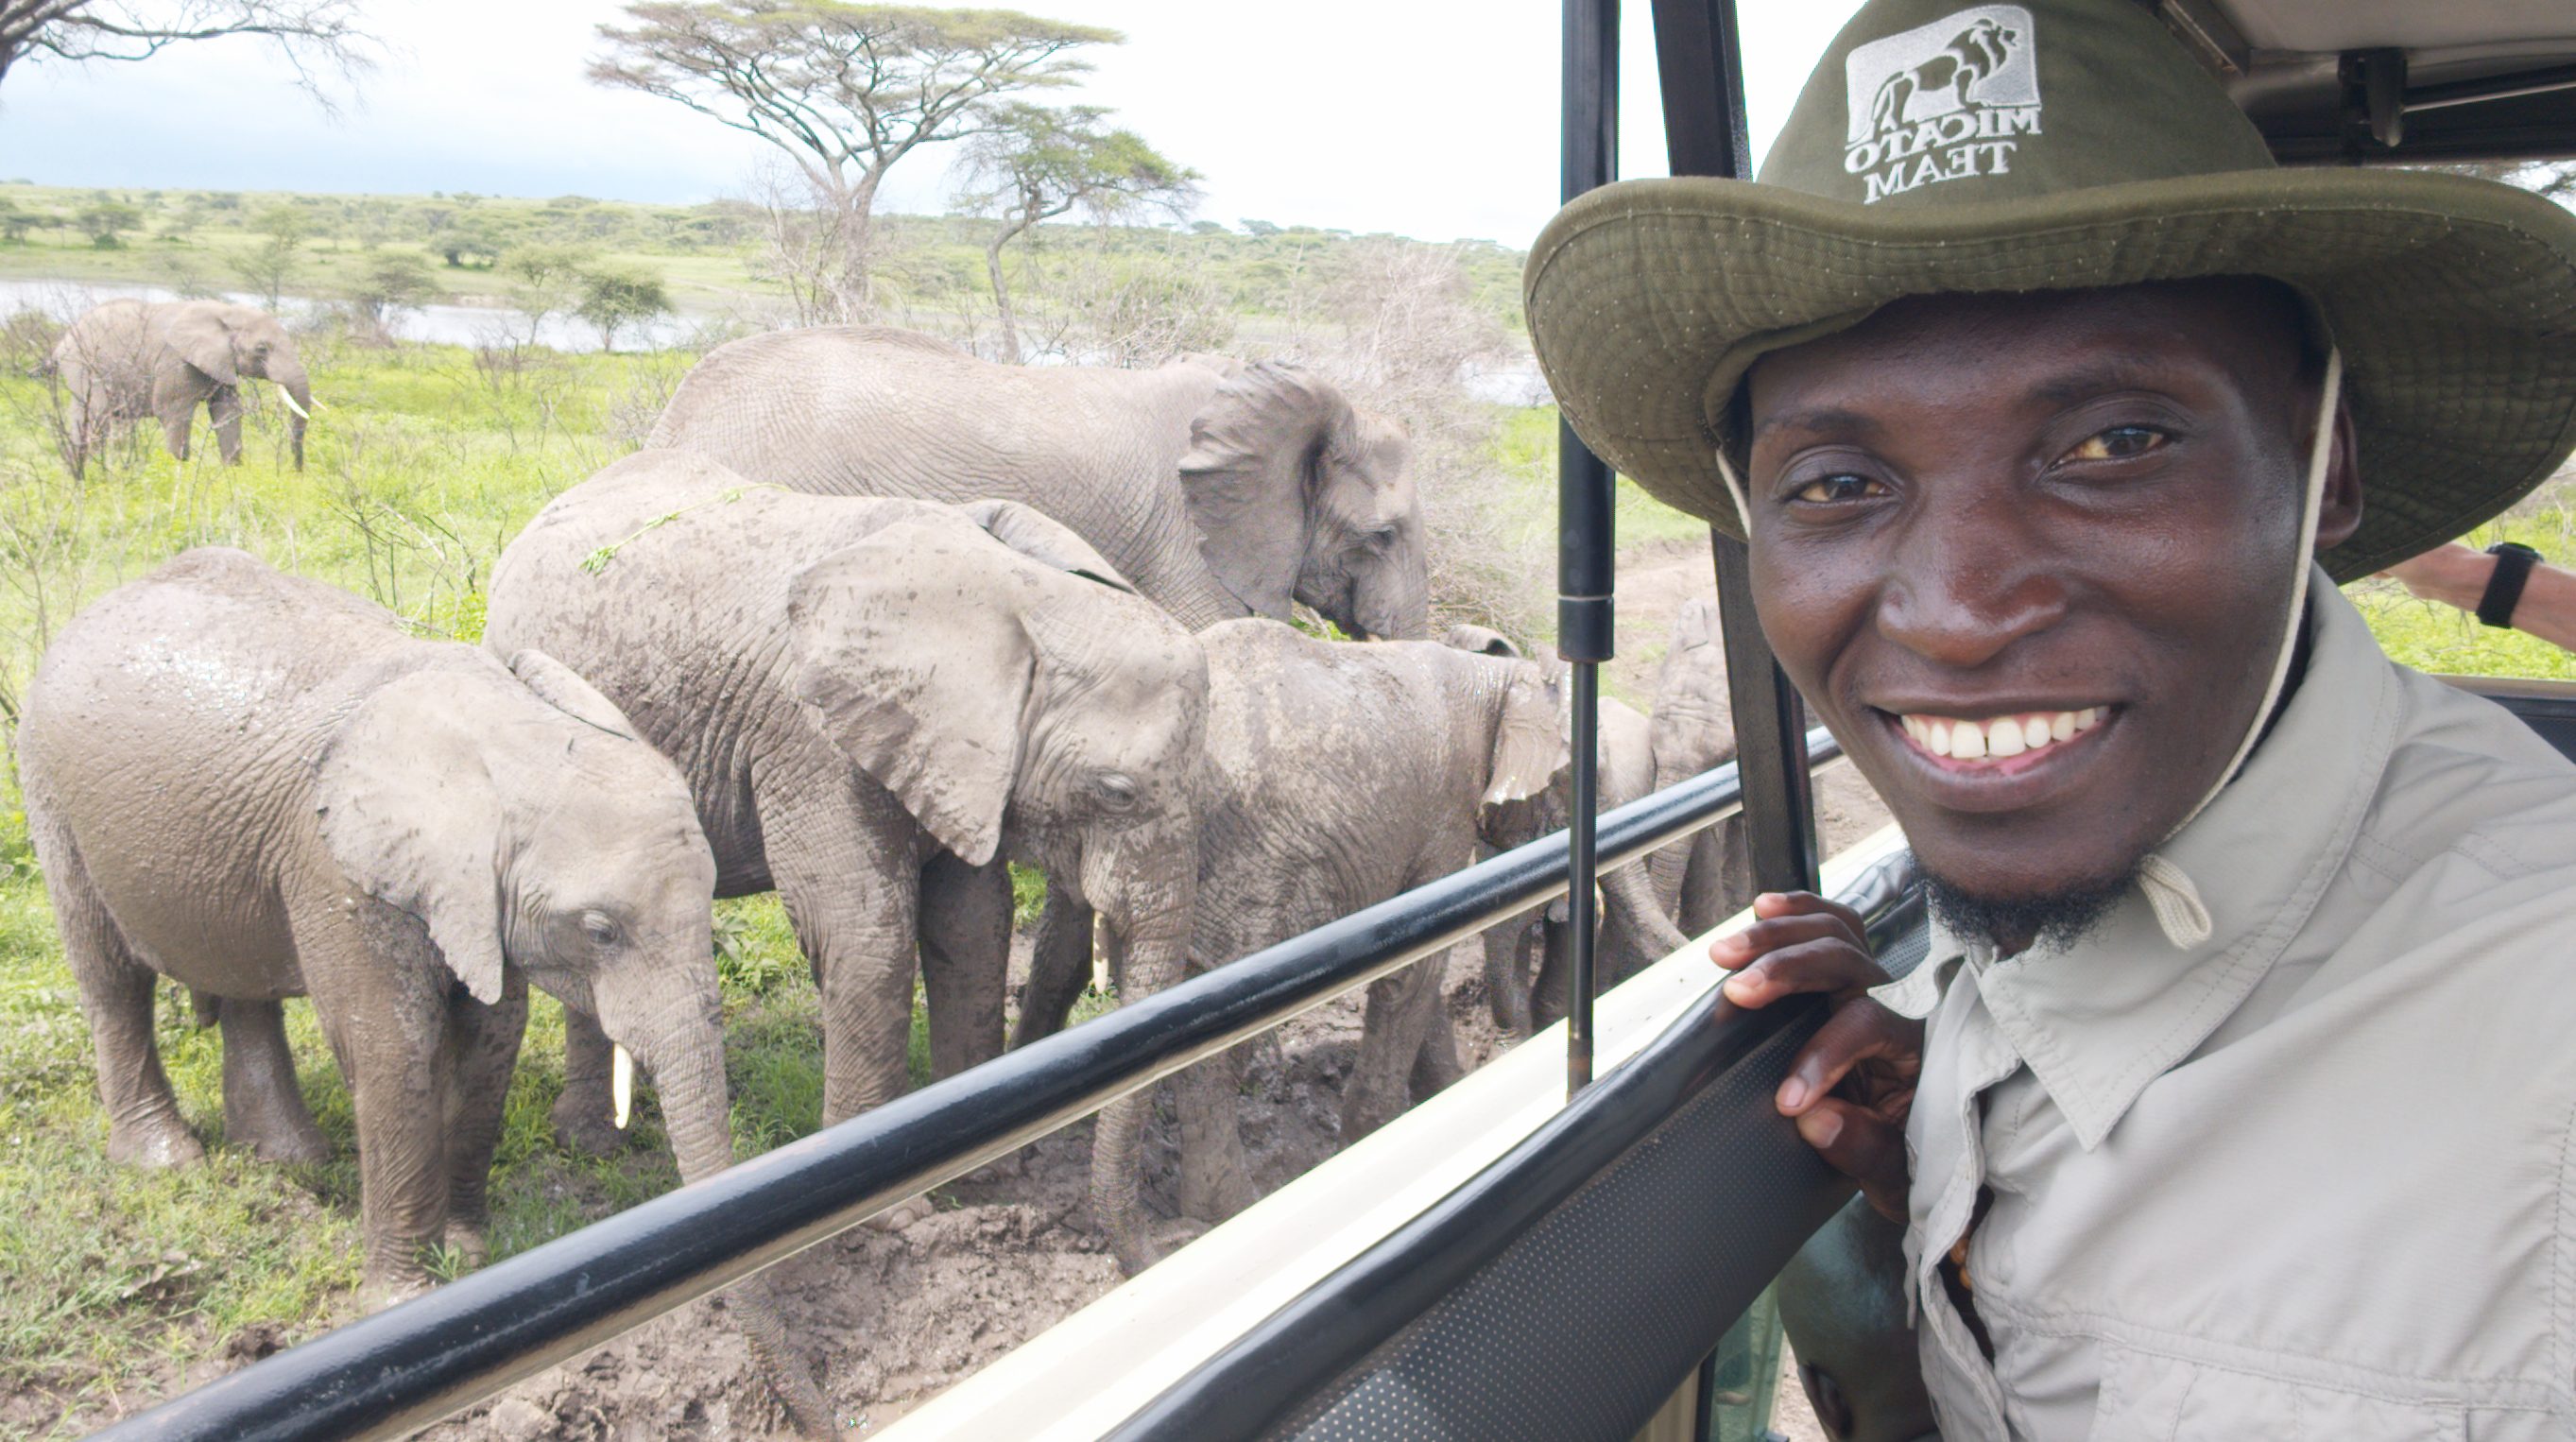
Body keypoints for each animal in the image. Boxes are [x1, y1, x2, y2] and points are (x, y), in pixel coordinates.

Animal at [14, 548, 829, 1434]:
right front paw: (402, 1303)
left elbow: (492, 1039)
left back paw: (288, 1157)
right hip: (48, 788)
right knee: (111, 978)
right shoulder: (337, 864)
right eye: (602, 931)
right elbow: (391, 1044)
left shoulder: (470, 895)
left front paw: (469, 1258)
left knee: (241, 979)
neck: (507, 744)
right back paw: (168, 1164)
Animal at [44, 299, 312, 475]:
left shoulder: (221, 363)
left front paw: (233, 474)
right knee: (95, 414)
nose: (297, 472)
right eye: (262, 349)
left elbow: (228, 413)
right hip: (83, 365)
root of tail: (62, 342)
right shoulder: (174, 362)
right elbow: (173, 413)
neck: (226, 312)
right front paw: (179, 473)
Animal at [481, 452, 1209, 1251]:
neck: (1015, 594)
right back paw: (592, 1145)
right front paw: (892, 1214)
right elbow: (866, 934)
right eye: (1118, 793)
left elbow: (973, 926)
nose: (1169, 1237)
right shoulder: (813, 735)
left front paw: (986, 1170)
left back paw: (592, 1144)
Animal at [1017, 622, 1584, 1271]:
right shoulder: (1445, 810)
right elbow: (1416, 965)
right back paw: (1228, 1211)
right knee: (1218, 1042)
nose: (1517, 1043)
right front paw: (1372, 1148)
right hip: (1244, 862)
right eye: (1566, 782)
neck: (1497, 675)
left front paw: (1446, 1098)